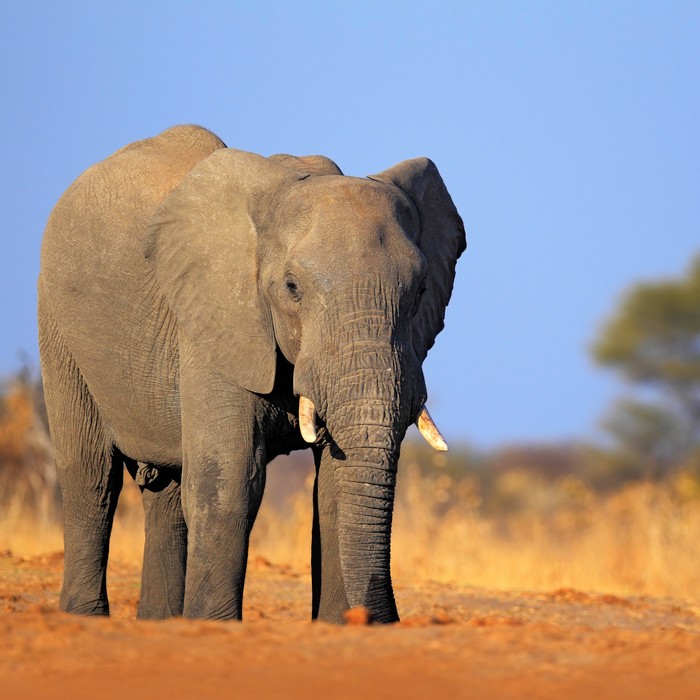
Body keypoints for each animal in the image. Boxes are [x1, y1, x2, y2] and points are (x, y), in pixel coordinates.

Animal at [38, 126, 464, 624]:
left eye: (420, 290)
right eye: (292, 288)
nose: (381, 619)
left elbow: (335, 488)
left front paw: (337, 628)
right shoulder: (215, 318)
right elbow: (231, 481)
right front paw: (216, 627)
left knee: (166, 490)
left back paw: (162, 623)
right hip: (58, 324)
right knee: (91, 477)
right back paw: (84, 617)